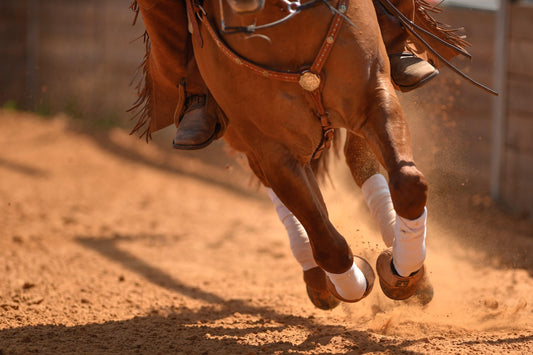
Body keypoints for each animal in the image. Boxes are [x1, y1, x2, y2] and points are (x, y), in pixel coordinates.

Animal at [187, 0, 428, 308]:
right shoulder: (273, 150)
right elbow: (327, 243)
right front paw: (353, 282)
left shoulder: (374, 97)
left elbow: (409, 185)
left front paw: (403, 272)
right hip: (246, 141)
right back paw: (318, 278)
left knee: (360, 163)